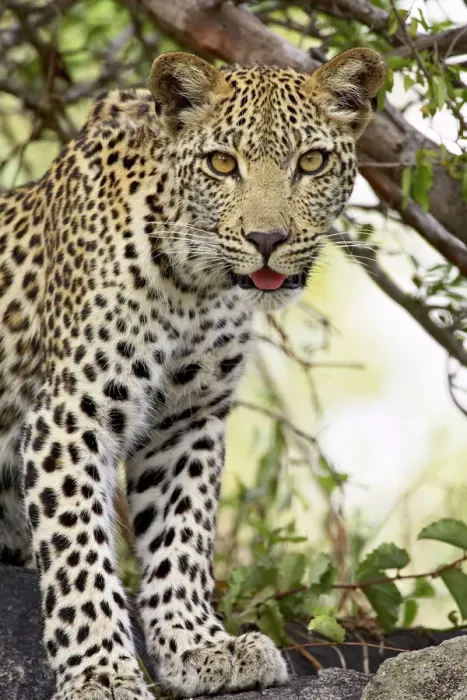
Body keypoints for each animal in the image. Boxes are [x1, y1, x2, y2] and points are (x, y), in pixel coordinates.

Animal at [0, 48, 385, 699]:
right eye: (221, 163)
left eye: (310, 162)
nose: (266, 239)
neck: (194, 283)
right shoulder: (71, 414)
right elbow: (79, 552)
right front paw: (101, 672)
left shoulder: (188, 418)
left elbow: (181, 534)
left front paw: (201, 646)